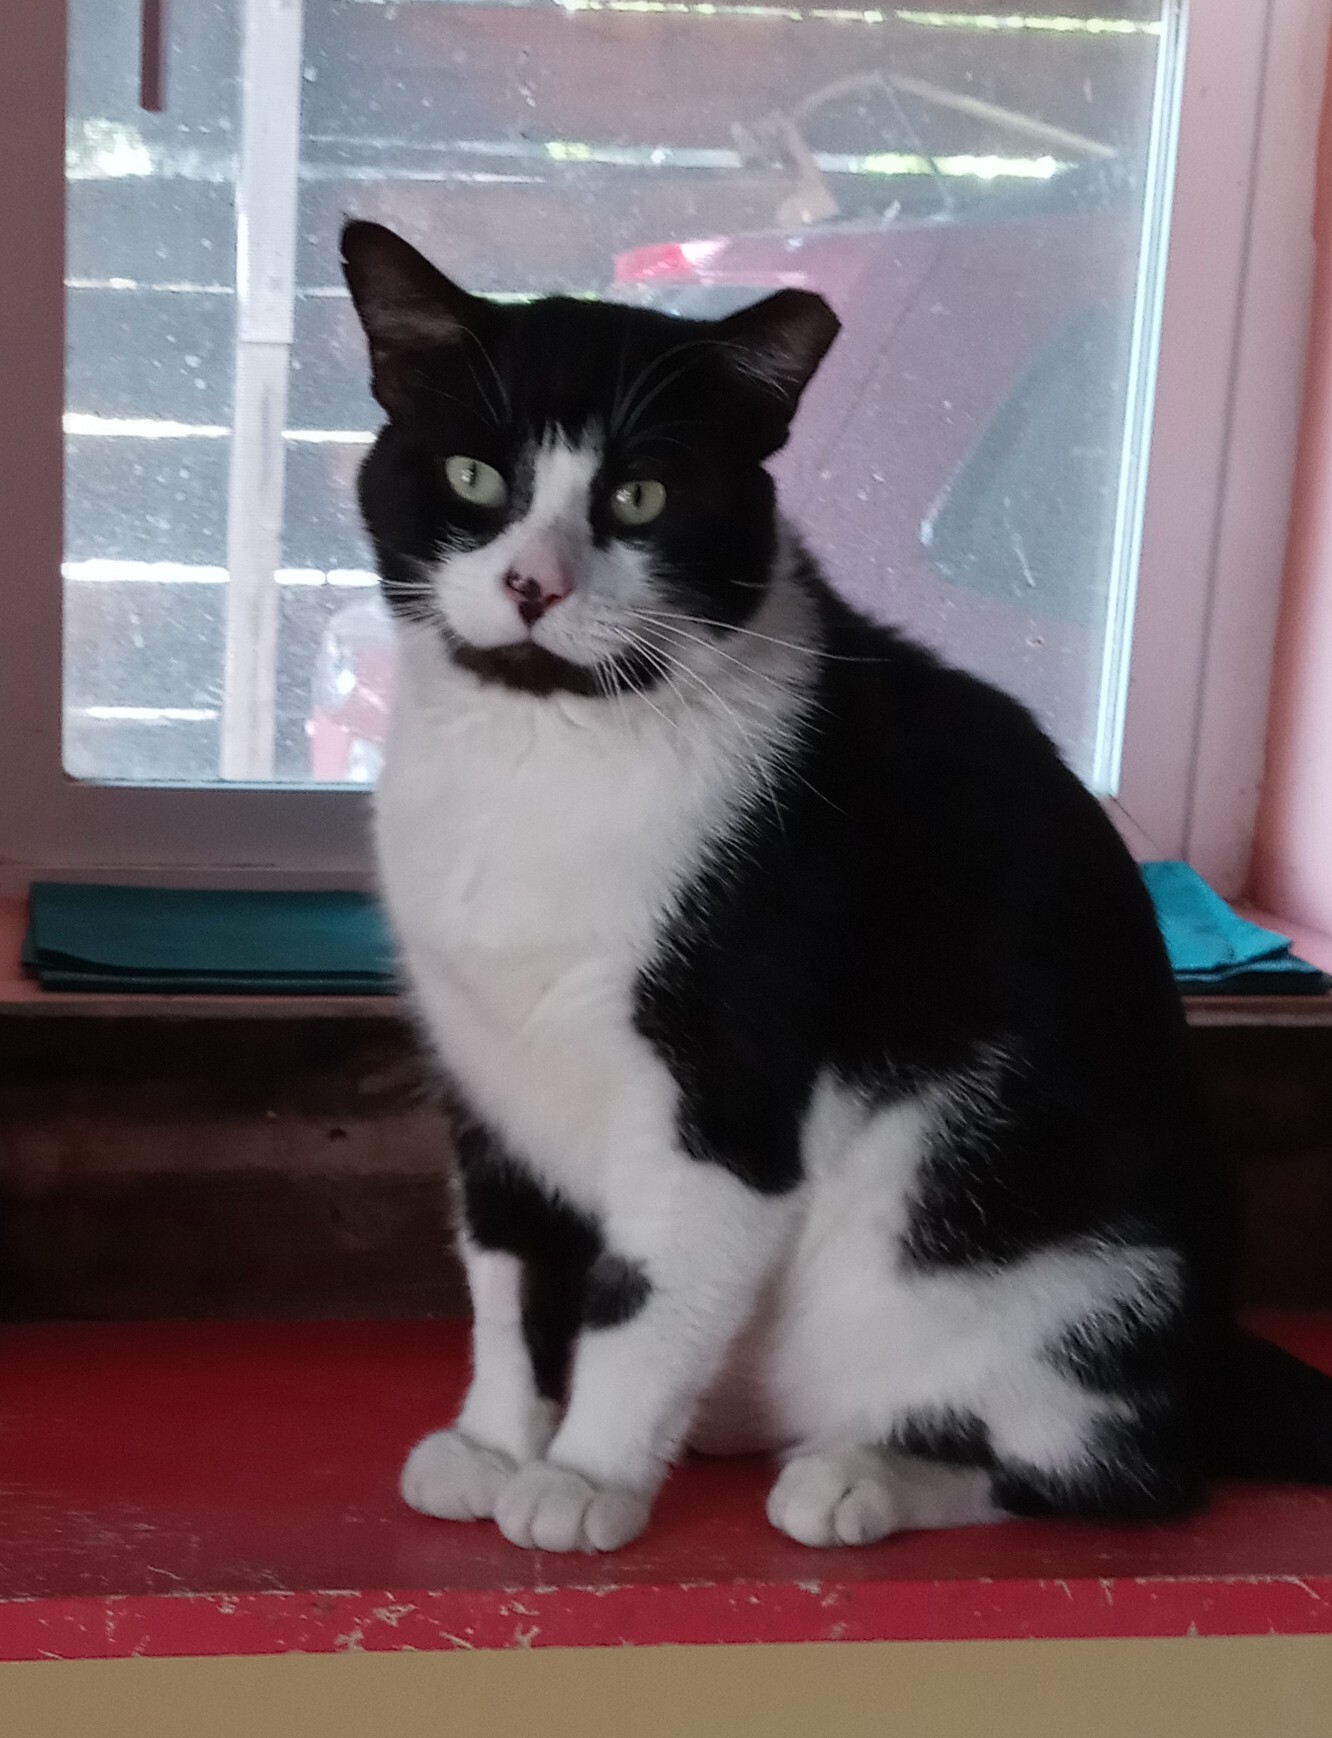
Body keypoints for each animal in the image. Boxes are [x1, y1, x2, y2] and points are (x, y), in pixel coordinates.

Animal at [340, 220, 1332, 1564]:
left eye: (641, 495)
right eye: (473, 477)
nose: (535, 586)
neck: (544, 754)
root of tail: (1209, 1351)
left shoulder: (729, 1066)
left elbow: (641, 1290)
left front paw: (587, 1473)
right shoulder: (488, 1073)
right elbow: (510, 1273)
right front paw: (499, 1442)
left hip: (1068, 1278)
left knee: (1110, 1471)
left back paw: (863, 1474)